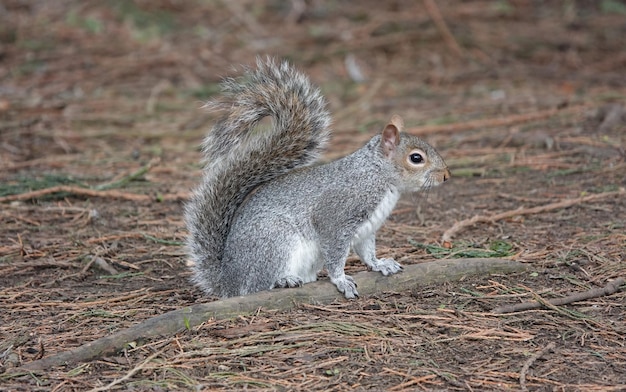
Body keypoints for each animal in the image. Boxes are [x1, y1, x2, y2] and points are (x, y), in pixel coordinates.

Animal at [183, 58, 450, 298]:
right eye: (416, 158)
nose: (446, 175)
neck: (376, 175)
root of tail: (228, 281)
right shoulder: (337, 216)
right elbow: (335, 252)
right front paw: (341, 279)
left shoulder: (367, 228)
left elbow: (367, 252)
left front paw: (380, 264)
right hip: (274, 241)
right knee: (255, 285)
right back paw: (283, 280)